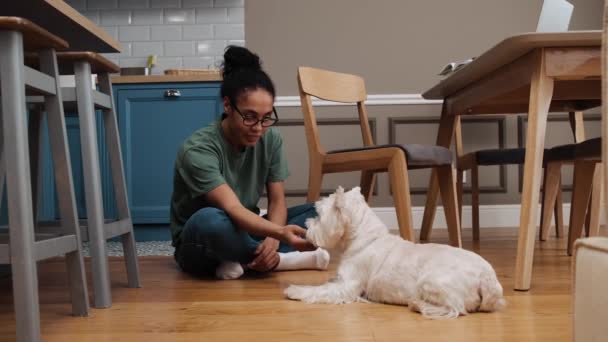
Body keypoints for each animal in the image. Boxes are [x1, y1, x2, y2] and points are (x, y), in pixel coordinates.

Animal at [284, 186, 504, 320]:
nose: (307, 226)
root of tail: (487, 278)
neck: (364, 237)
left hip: (432, 281)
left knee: (455, 308)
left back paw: (418, 304)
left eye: (319, 215)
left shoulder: (348, 286)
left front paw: (294, 290)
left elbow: (319, 290)